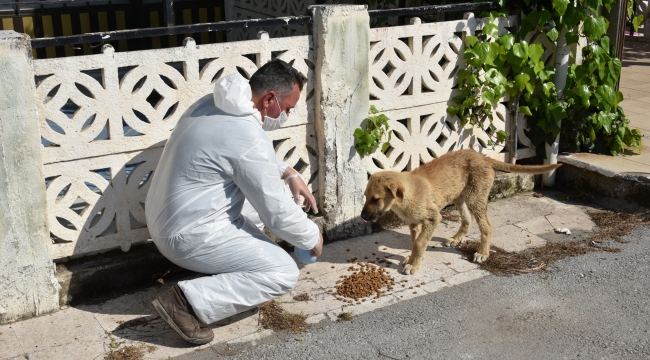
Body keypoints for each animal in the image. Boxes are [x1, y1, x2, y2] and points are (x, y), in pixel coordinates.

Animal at [356, 148, 560, 274]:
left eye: (376, 199)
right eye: (365, 196)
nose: (363, 217)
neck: (405, 197)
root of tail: (483, 157)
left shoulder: (433, 218)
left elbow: (421, 242)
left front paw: (413, 265)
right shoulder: (414, 223)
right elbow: (415, 242)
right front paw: (411, 259)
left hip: (475, 197)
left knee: (486, 225)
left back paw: (482, 253)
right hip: (459, 197)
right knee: (467, 220)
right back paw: (456, 238)